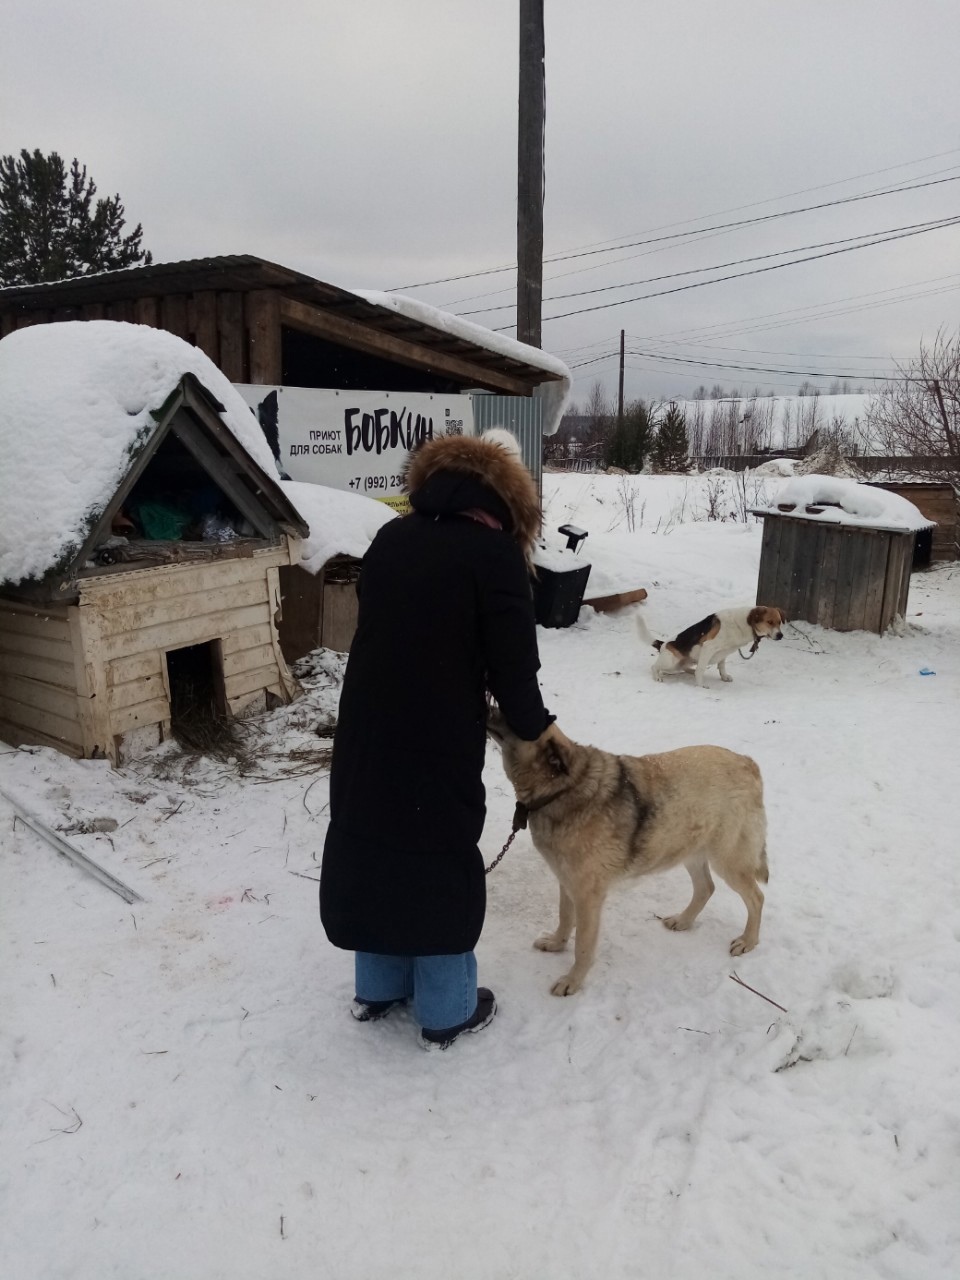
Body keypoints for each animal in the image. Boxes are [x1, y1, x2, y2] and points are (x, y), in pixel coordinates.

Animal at [483, 716, 773, 993]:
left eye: (512, 718)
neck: (562, 788)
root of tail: (748, 763)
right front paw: (556, 944)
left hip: (727, 860)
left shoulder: (588, 897)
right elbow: (565, 918)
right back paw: (683, 920)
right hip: (687, 849)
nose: (489, 706)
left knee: (756, 898)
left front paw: (573, 982)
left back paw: (748, 941)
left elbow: (582, 947)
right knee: (706, 888)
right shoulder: (566, 882)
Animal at [634, 604, 783, 686]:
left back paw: (691, 671)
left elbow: (721, 667)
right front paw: (701, 686)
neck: (742, 624)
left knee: (684, 668)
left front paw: (724, 677)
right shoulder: (709, 647)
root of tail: (663, 644)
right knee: (654, 667)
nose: (780, 635)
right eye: (770, 622)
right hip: (671, 661)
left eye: (780, 622)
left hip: (682, 663)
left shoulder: (723, 653)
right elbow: (701, 670)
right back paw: (658, 676)